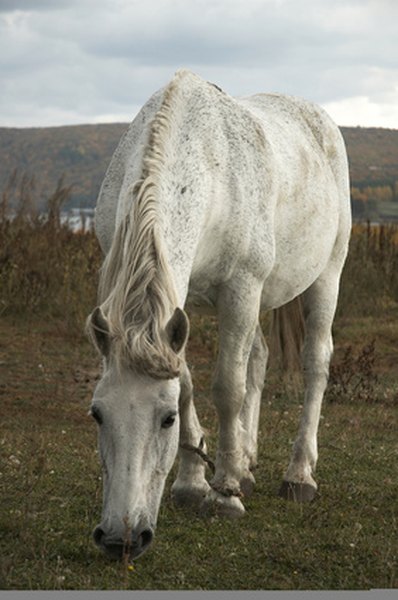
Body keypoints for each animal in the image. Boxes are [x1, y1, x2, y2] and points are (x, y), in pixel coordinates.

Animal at [88, 70, 352, 564]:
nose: (121, 539)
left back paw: (298, 475)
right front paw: (193, 481)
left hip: (325, 275)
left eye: (164, 420)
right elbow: (192, 384)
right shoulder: (179, 305)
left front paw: (225, 493)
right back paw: (246, 460)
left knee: (315, 363)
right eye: (97, 415)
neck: (204, 166)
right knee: (260, 358)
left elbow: (228, 386)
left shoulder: (241, 288)